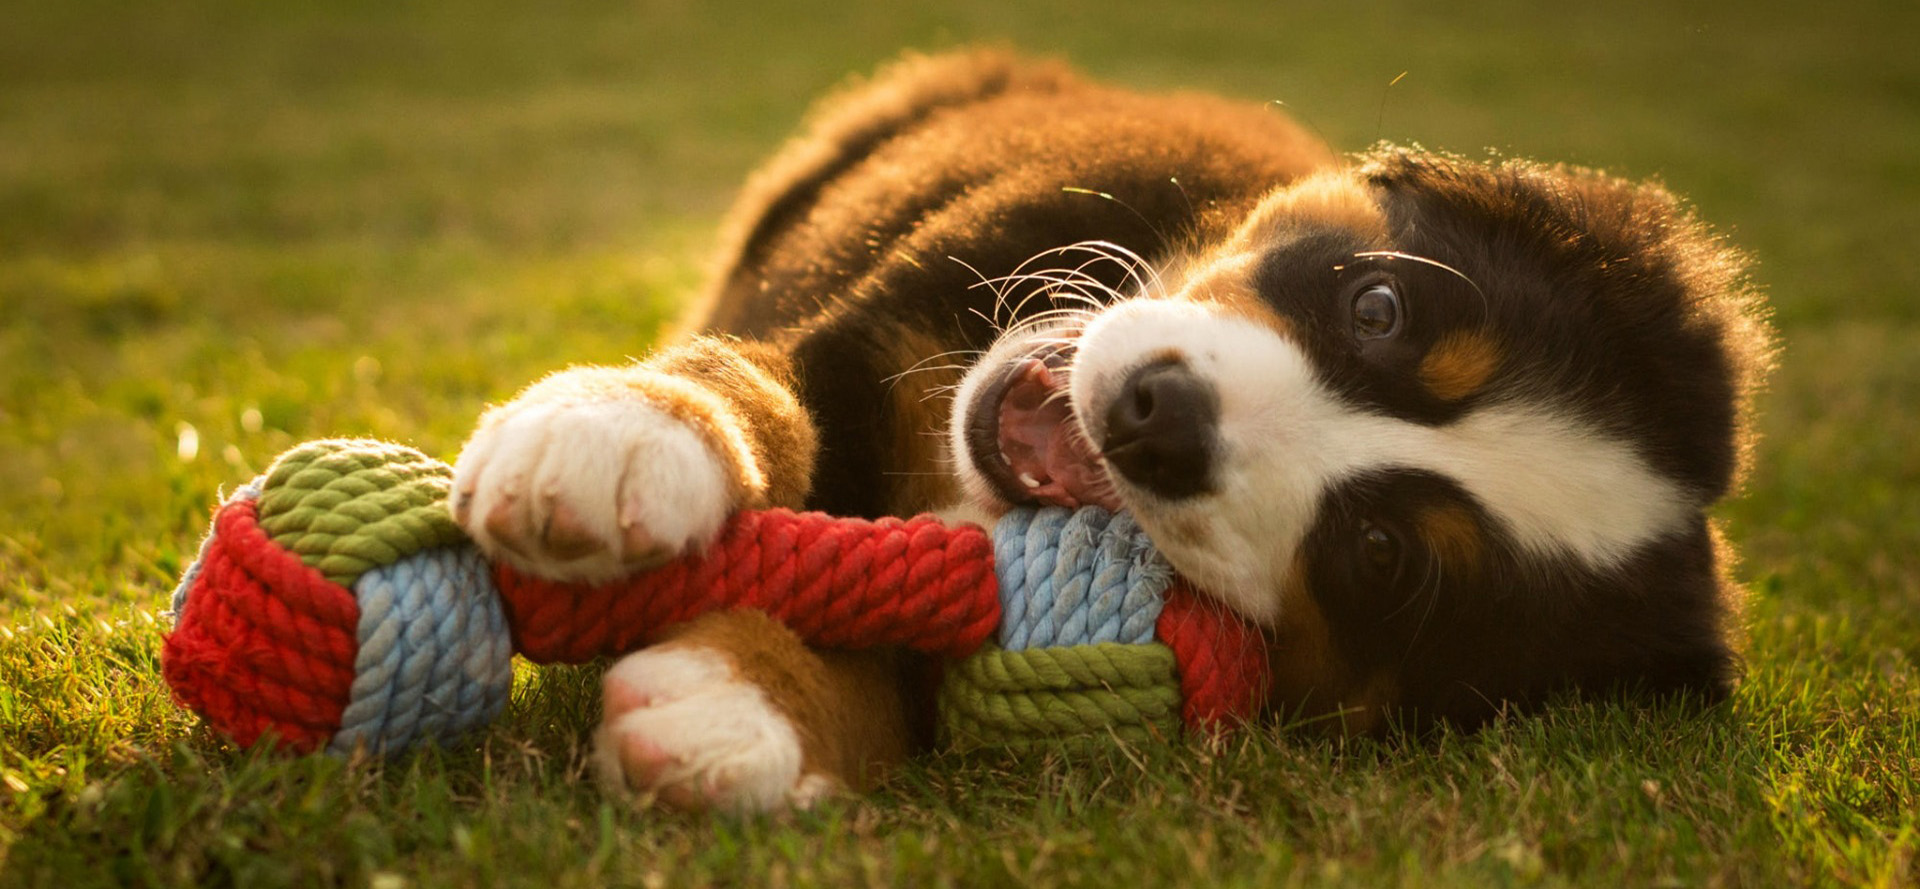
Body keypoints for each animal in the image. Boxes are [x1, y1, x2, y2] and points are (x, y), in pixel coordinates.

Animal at [445, 48, 1766, 814]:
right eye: (1380, 308)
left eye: (1382, 557)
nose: (1160, 417)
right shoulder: (865, 327)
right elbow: (750, 381)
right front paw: (619, 435)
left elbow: (905, 674)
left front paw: (737, 711)